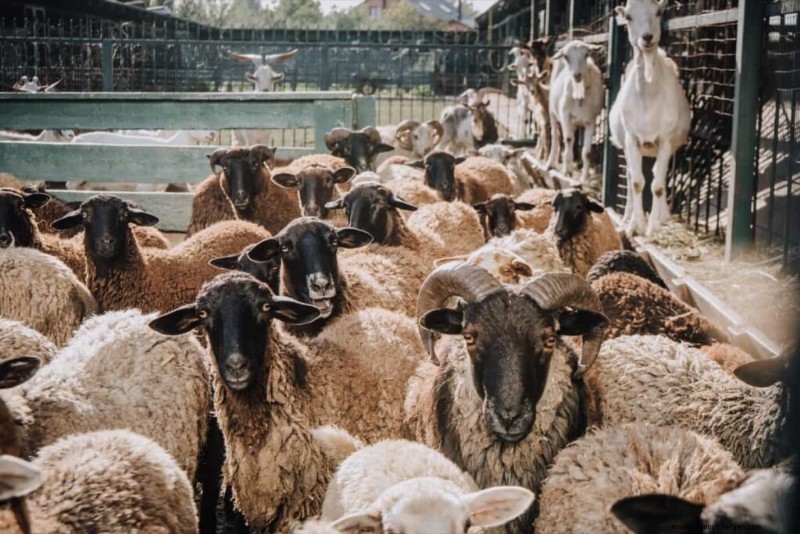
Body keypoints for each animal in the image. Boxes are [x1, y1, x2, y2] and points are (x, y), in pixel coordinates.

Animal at [545, 40, 605, 184]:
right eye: (567, 57)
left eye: (586, 54)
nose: (577, 75)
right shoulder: (565, 114)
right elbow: (568, 140)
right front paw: (567, 171)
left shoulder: (591, 120)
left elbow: (586, 152)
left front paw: (584, 178)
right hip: (552, 109)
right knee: (556, 136)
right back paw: (550, 164)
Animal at [610, 0, 691, 236]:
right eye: (628, 17)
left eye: (658, 12)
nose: (647, 37)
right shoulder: (632, 138)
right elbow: (637, 182)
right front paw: (635, 226)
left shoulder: (665, 139)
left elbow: (658, 185)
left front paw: (653, 226)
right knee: (630, 177)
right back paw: (626, 217)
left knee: (659, 176)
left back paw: (663, 216)